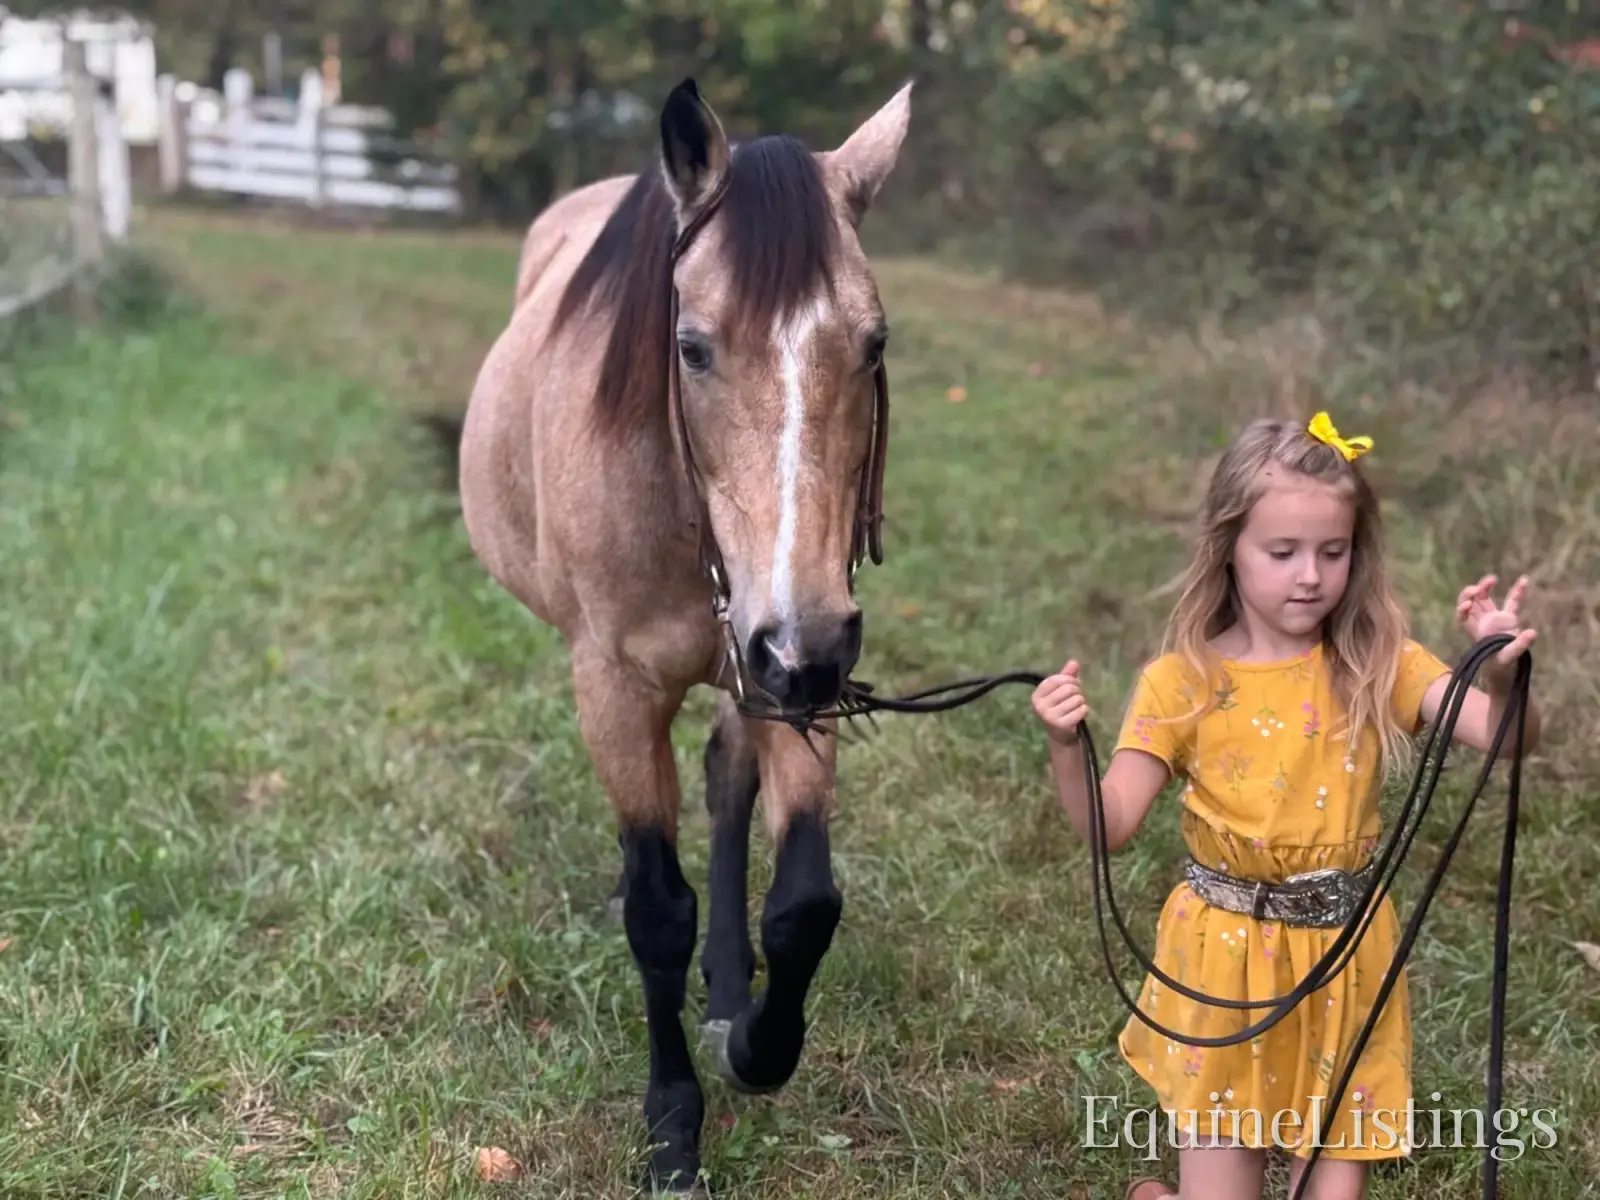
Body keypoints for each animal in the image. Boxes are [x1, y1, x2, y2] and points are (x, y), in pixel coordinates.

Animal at [451, 77, 913, 1191]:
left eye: (874, 344)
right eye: (693, 347)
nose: (803, 646)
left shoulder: (793, 674)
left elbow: (804, 903)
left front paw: (753, 1038)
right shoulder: (621, 684)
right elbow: (657, 914)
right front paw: (671, 1130)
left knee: (725, 784)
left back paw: (728, 985)